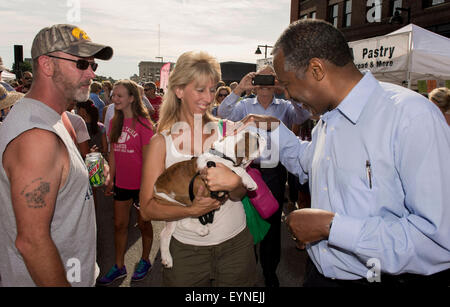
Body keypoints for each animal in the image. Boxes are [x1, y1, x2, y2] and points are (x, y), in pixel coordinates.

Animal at [155, 129, 268, 268]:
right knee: (183, 222)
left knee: (165, 233)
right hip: (179, 204)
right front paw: (250, 181)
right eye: (256, 141)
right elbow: (238, 170)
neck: (224, 153)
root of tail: (155, 188)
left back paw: (167, 258)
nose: (263, 136)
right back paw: (201, 229)